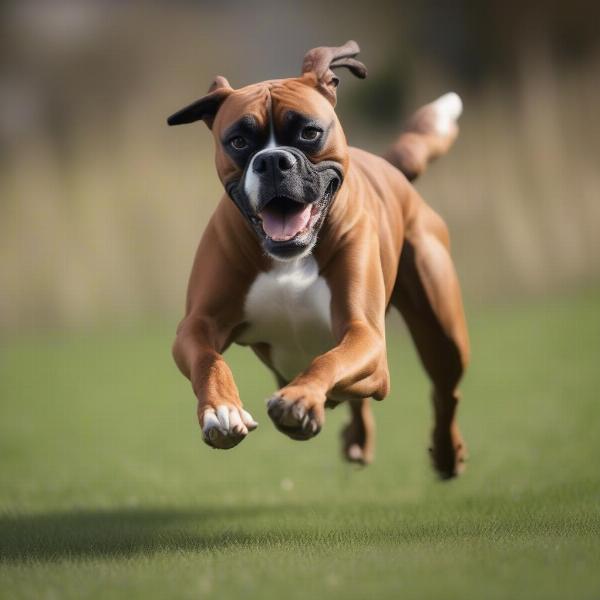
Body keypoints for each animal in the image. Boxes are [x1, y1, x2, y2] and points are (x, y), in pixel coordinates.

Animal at [168, 41, 468, 478]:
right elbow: (210, 362)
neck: (289, 257)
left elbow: (329, 361)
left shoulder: (364, 336)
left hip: (444, 334)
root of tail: (391, 168)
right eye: (238, 141)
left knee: (446, 392)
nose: (273, 160)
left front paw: (300, 399)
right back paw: (356, 437)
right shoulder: (196, 327)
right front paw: (221, 410)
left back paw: (447, 453)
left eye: (309, 132)